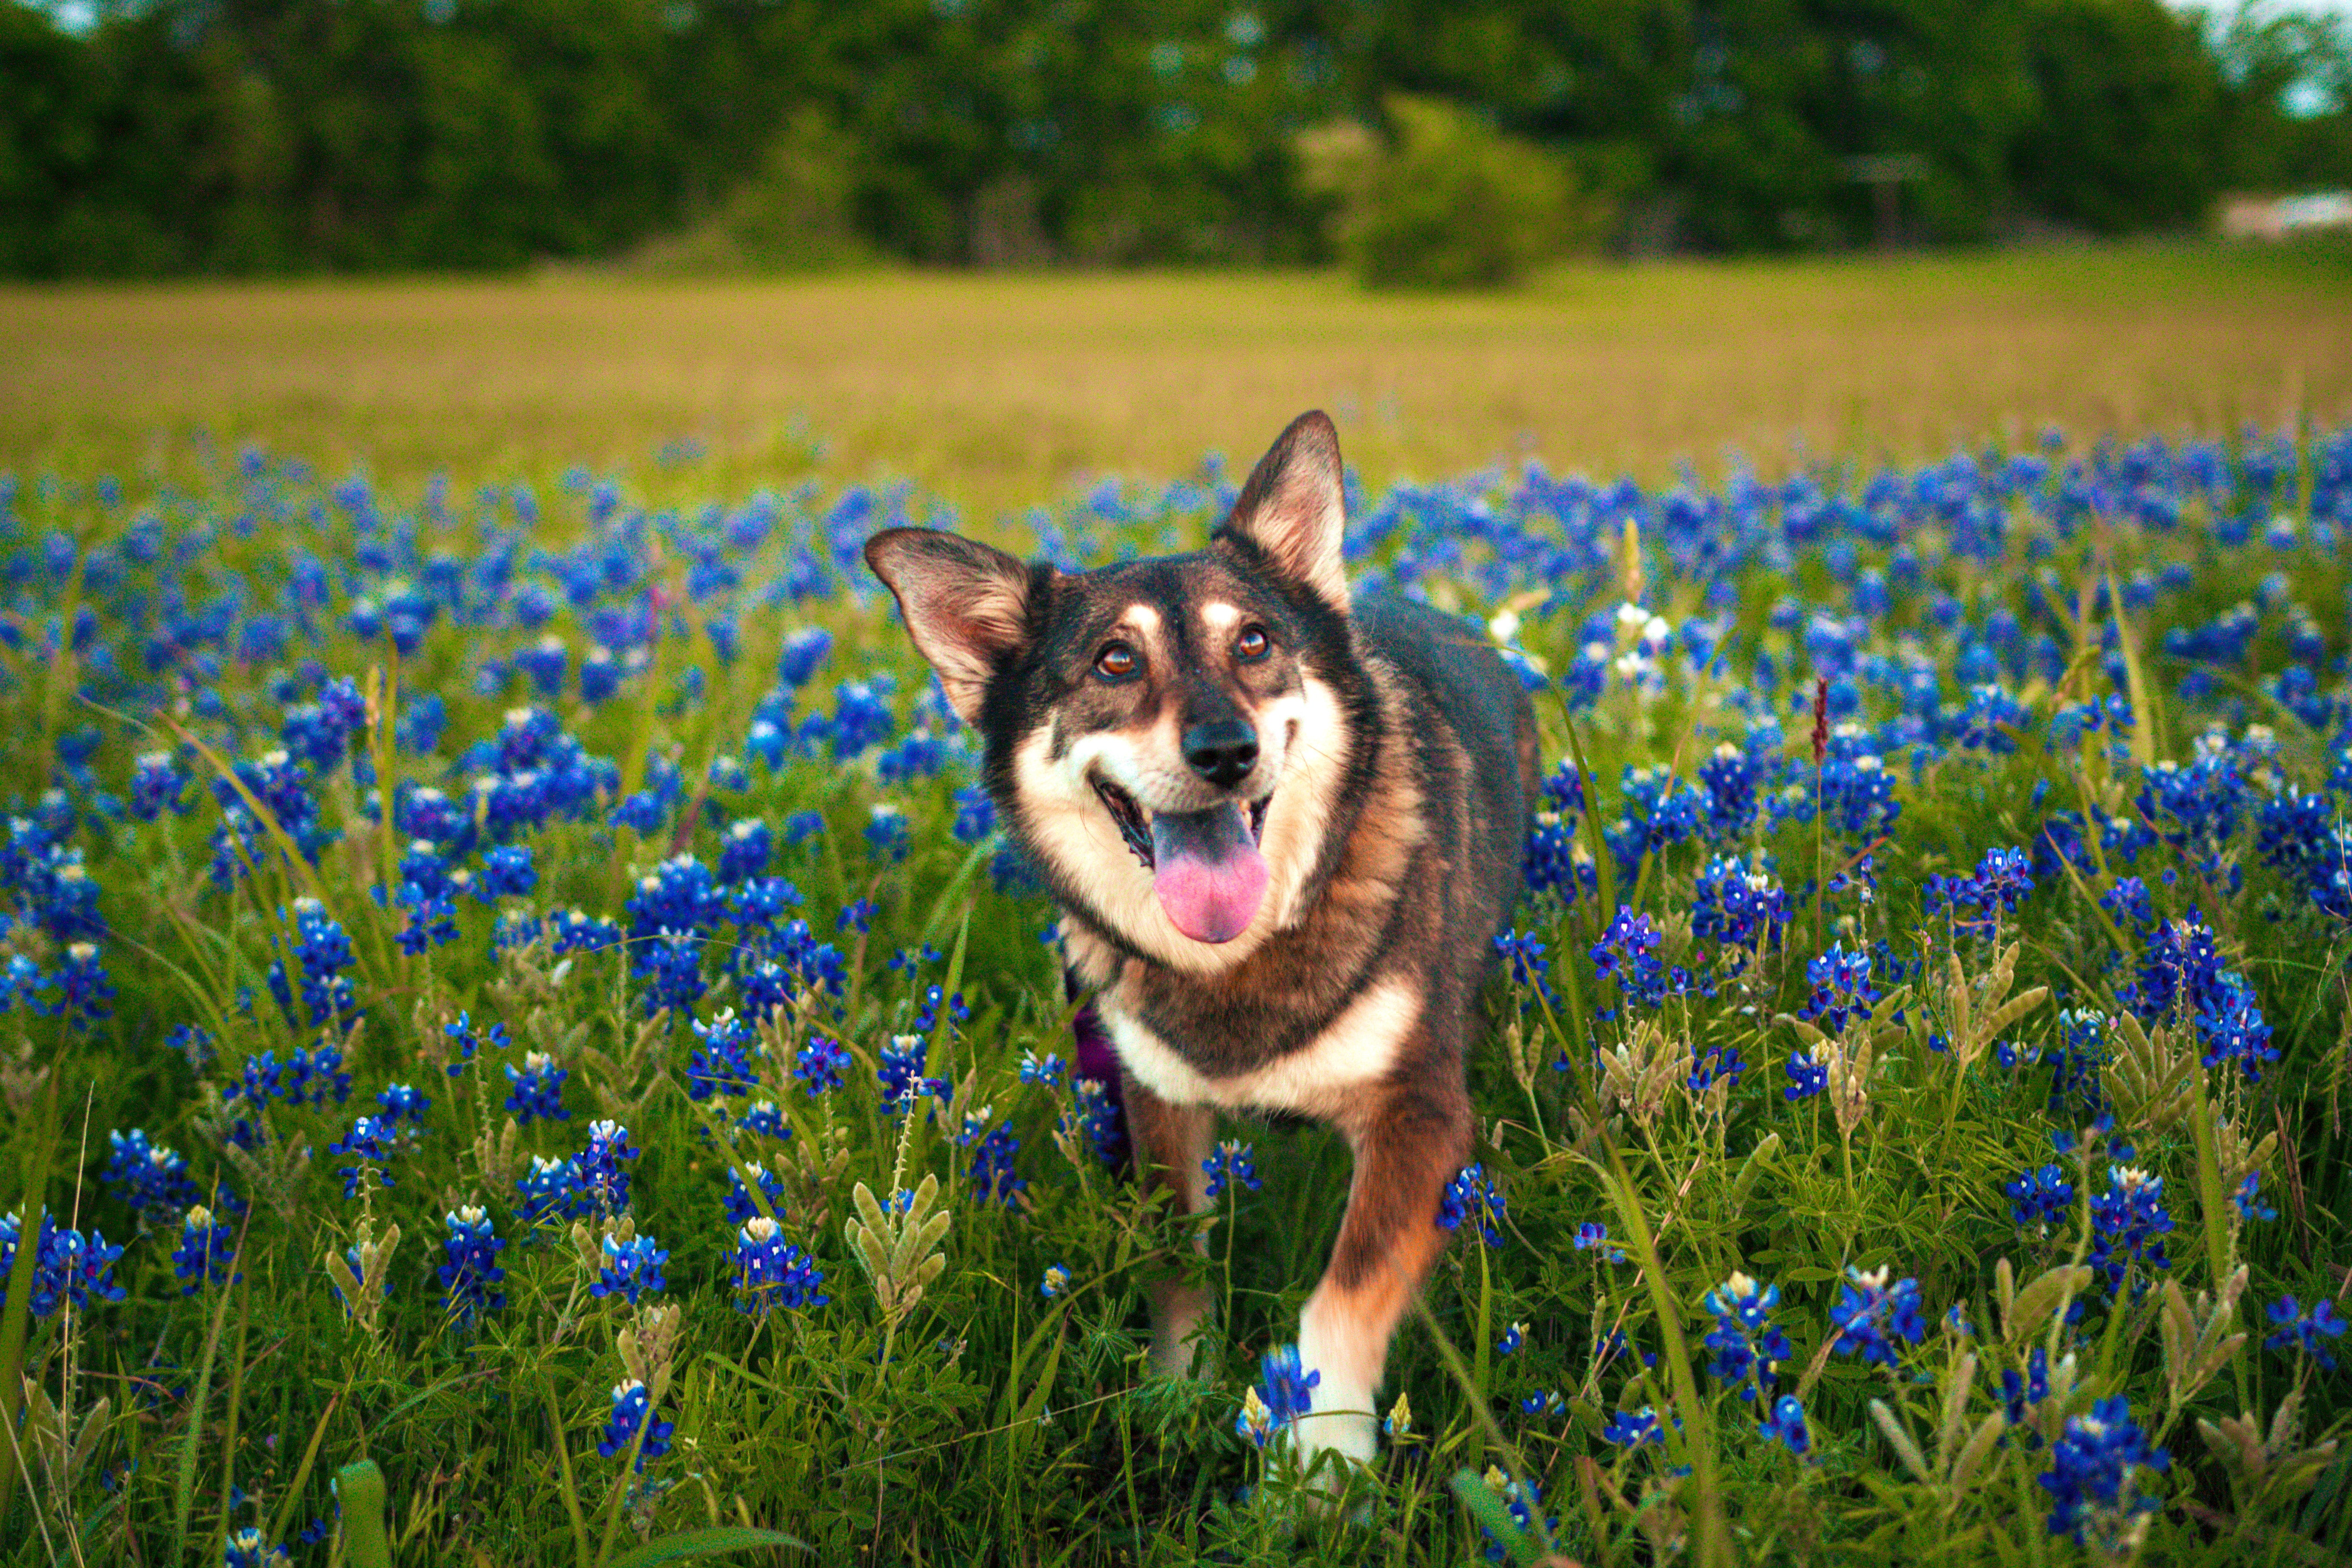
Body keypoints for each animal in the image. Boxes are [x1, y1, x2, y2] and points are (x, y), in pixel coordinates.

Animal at [865, 411, 1543, 1476]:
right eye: (1114, 661)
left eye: (1254, 642)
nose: (1226, 751)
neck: (1241, 958)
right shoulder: (1154, 1099)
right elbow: (1173, 1256)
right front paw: (1177, 1392)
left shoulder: (1421, 1113)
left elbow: (1342, 1296)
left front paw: (1319, 1462)